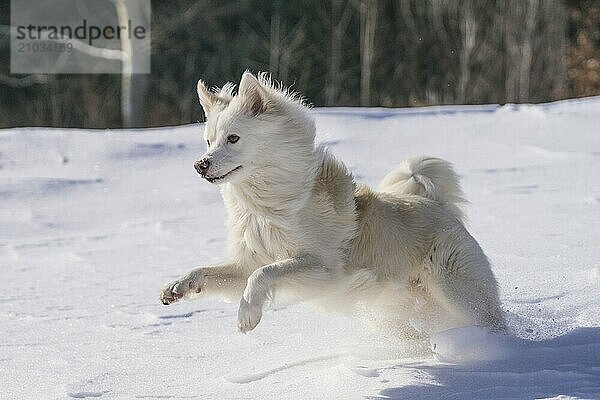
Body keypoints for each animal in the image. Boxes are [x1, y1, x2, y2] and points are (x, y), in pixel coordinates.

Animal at [157, 70, 504, 336]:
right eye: (208, 141)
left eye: (233, 139)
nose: (200, 165)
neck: (265, 205)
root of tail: (434, 203)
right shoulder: (247, 262)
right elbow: (213, 272)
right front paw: (177, 288)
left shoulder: (324, 270)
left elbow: (266, 273)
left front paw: (247, 316)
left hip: (455, 289)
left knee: (487, 316)